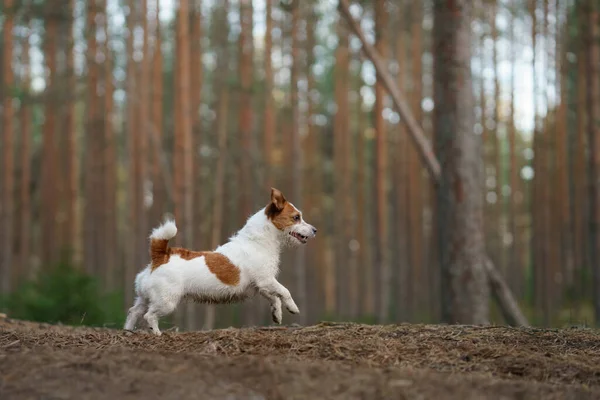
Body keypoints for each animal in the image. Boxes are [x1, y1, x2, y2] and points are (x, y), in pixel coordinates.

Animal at [123, 188, 316, 334]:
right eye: (296, 217)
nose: (315, 230)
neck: (257, 241)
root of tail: (161, 256)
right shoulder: (266, 280)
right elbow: (285, 291)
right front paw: (293, 307)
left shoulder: (259, 285)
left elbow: (274, 298)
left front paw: (277, 314)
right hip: (166, 301)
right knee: (149, 316)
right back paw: (156, 332)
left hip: (144, 298)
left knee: (134, 311)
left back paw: (128, 331)